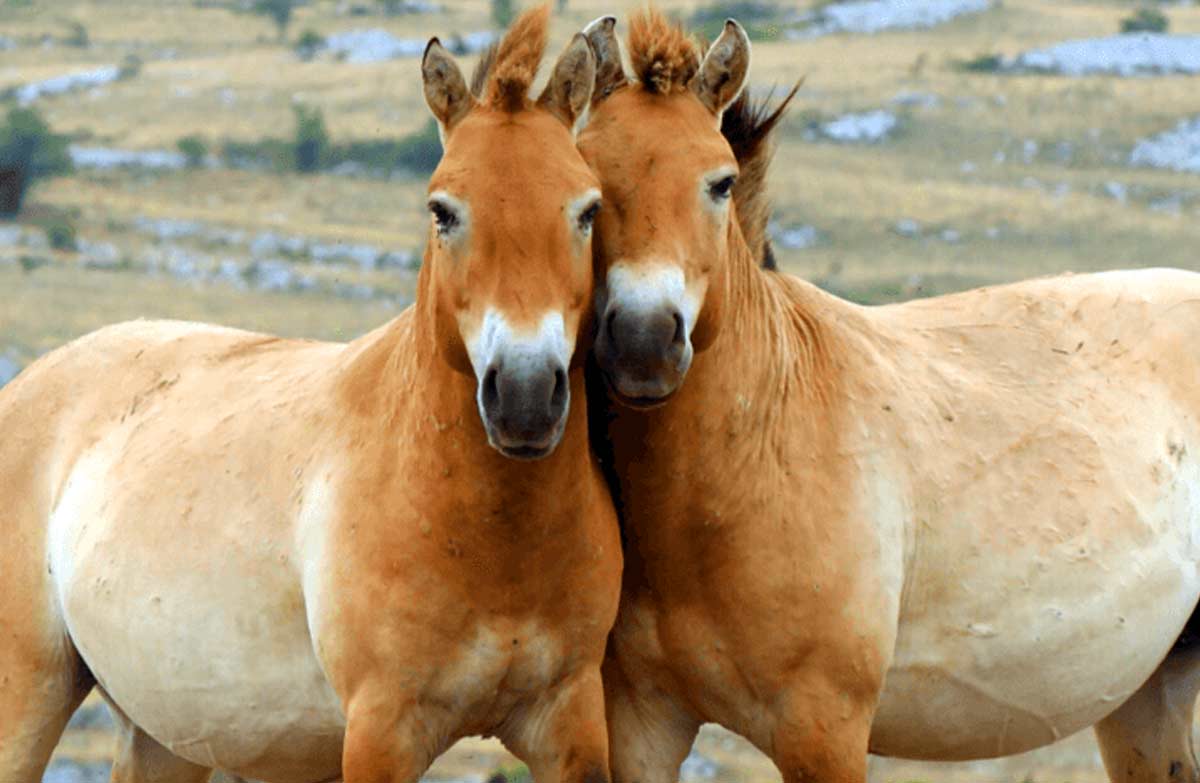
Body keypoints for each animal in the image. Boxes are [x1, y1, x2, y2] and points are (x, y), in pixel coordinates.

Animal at [0, 8, 622, 782]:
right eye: (442, 211)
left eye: (589, 210)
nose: (527, 395)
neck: (491, 536)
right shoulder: (382, 731)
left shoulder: (569, 719)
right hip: (27, 695)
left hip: (163, 734)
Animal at [578, 12, 1200, 783]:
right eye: (586, 181)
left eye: (720, 183)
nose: (642, 340)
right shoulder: (641, 720)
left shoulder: (824, 729)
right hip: (1148, 695)